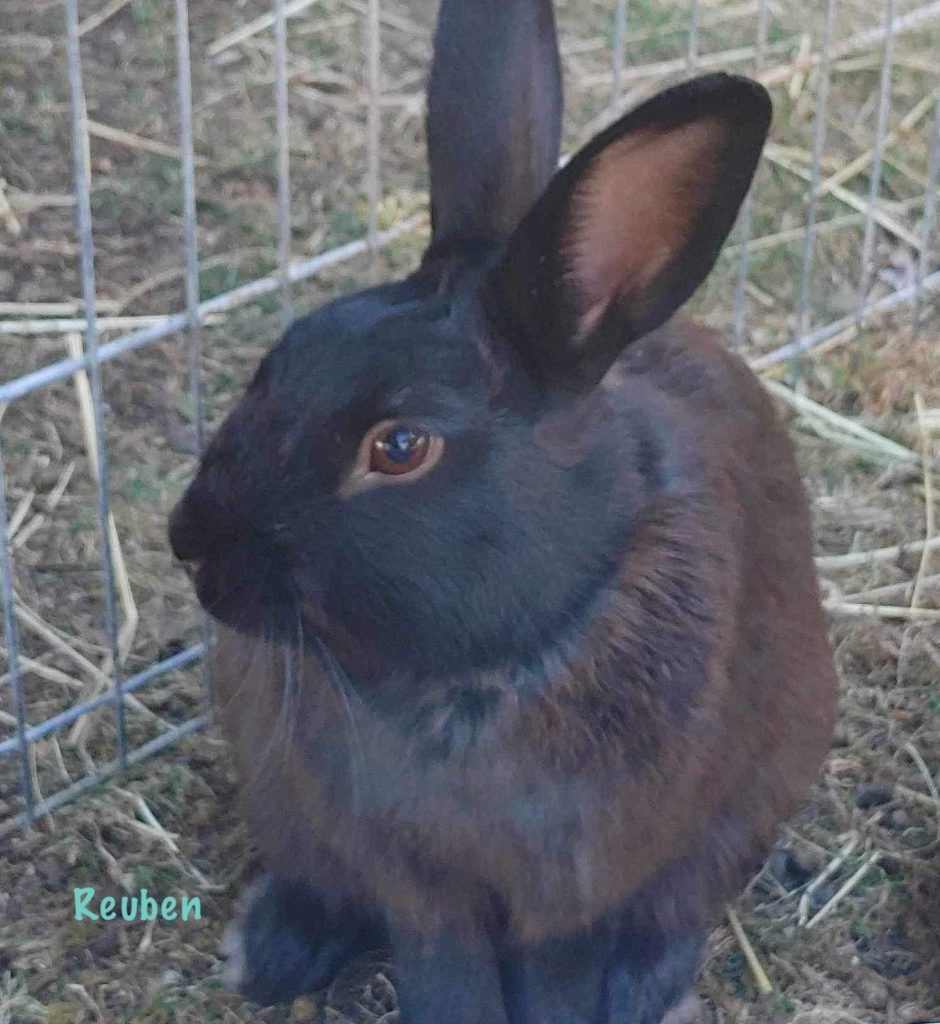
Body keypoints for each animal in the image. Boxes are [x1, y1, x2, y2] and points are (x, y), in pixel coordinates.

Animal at [168, 0, 837, 1020]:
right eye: (277, 358)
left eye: (400, 447)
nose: (190, 543)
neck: (476, 672)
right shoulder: (416, 882)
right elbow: (444, 967)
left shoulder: (579, 881)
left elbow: (556, 972)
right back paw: (274, 954)